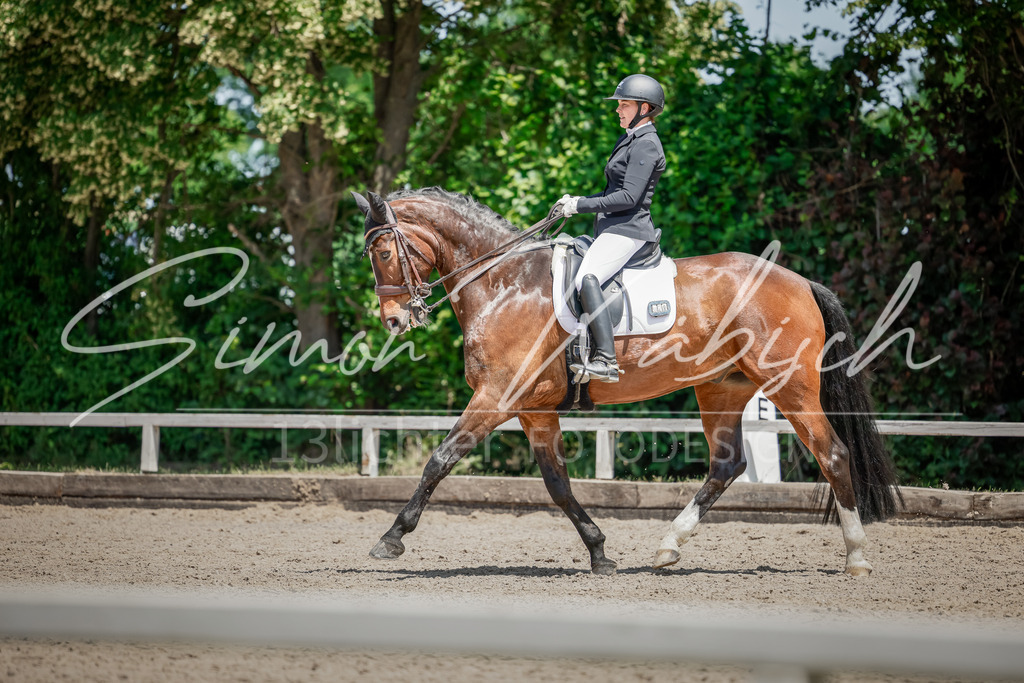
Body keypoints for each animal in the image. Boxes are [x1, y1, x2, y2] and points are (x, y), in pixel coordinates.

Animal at [352, 187, 902, 577]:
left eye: (382, 251)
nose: (394, 321)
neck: (504, 283)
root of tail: (799, 280)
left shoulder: (496, 397)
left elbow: (439, 460)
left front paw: (390, 539)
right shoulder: (533, 409)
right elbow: (557, 485)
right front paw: (599, 553)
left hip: (790, 386)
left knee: (833, 454)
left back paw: (856, 557)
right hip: (721, 387)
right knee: (727, 465)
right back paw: (668, 547)